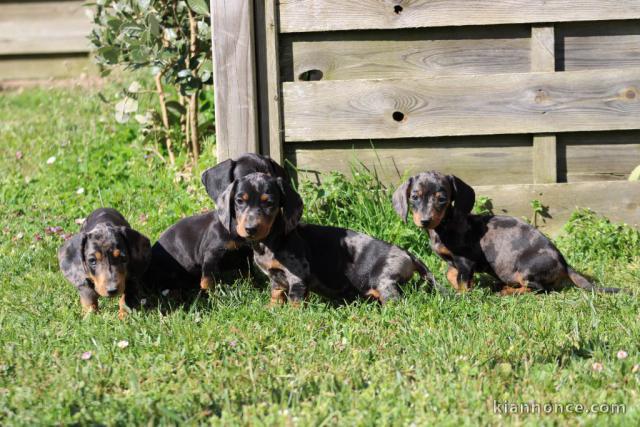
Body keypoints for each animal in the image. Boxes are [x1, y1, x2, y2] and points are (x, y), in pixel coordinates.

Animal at [144, 152, 304, 296]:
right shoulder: (211, 255)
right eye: (241, 198)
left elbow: (248, 274)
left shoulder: (245, 256)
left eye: (270, 179)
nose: (251, 228)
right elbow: (208, 281)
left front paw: (253, 288)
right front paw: (214, 298)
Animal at [215, 172, 440, 306]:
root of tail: (409, 254)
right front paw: (272, 311)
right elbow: (276, 298)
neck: (272, 241)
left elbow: (294, 304)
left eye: (269, 202)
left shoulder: (297, 278)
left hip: (384, 281)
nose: (250, 229)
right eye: (239, 201)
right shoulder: (276, 282)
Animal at [392, 172, 624, 296]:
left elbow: (462, 281)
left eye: (442, 199)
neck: (444, 226)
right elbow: (452, 275)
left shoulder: (466, 261)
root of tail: (564, 263)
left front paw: (463, 295)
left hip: (526, 270)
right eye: (414, 197)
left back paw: (508, 291)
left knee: (539, 289)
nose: (424, 220)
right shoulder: (455, 262)